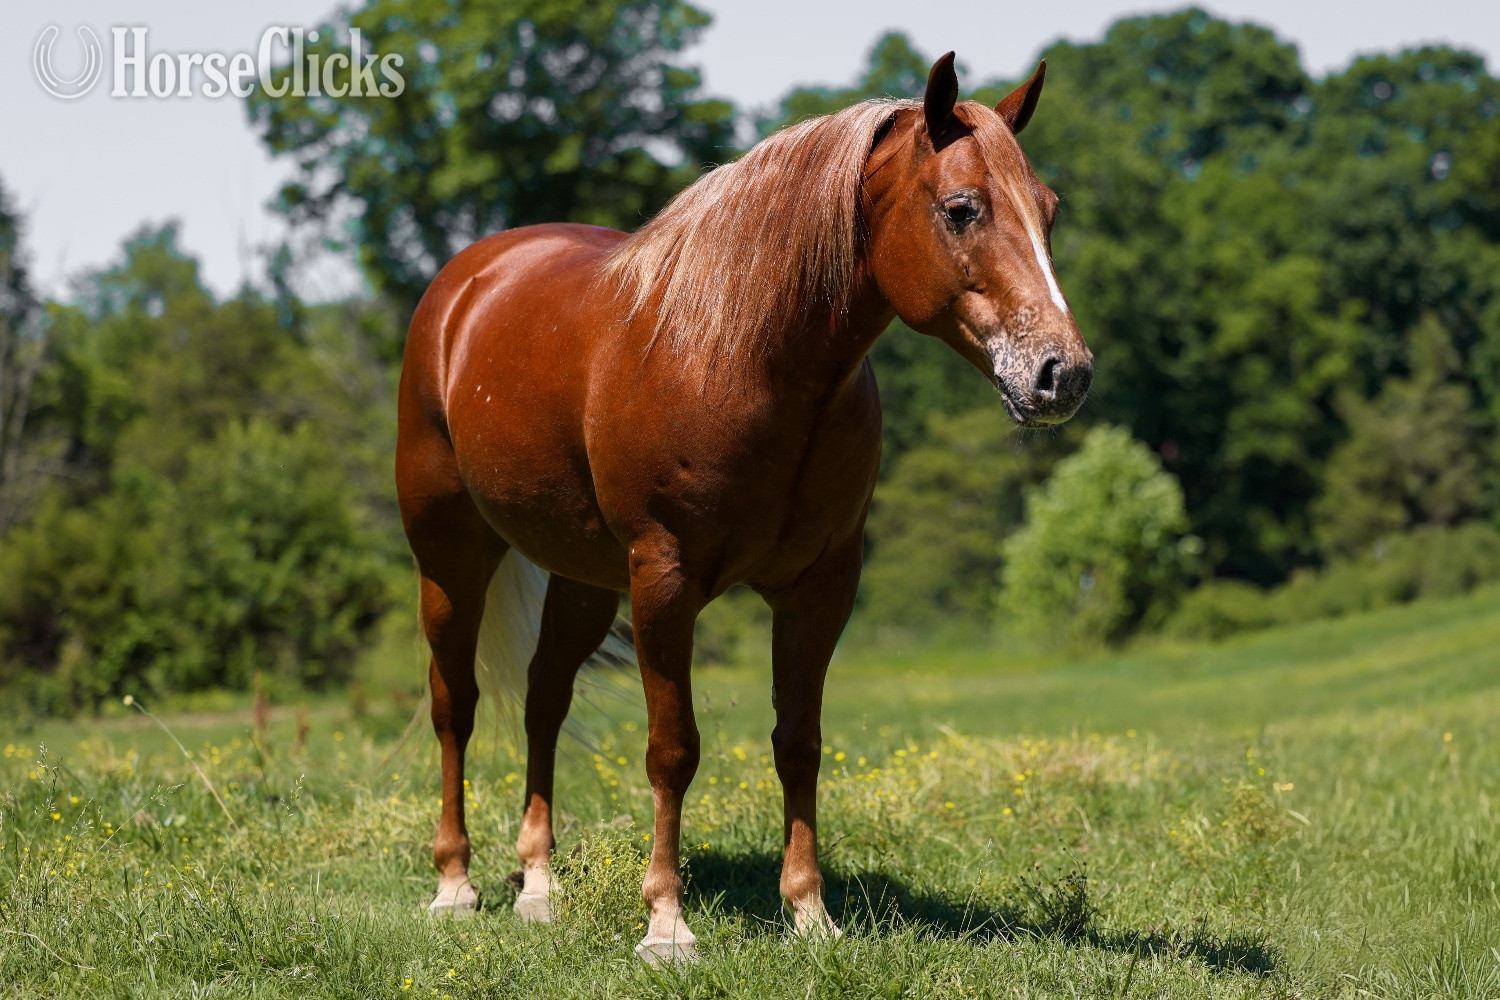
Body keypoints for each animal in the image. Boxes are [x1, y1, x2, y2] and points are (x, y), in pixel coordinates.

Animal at [395, 51, 1092, 963]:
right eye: (961, 208)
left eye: (1047, 208)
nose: (1063, 373)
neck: (740, 355)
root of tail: (466, 283)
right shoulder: (665, 581)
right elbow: (673, 749)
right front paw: (666, 923)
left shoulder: (819, 588)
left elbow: (799, 742)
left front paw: (810, 913)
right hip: (450, 558)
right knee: (457, 705)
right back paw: (455, 885)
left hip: (583, 578)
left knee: (546, 698)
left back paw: (539, 887)